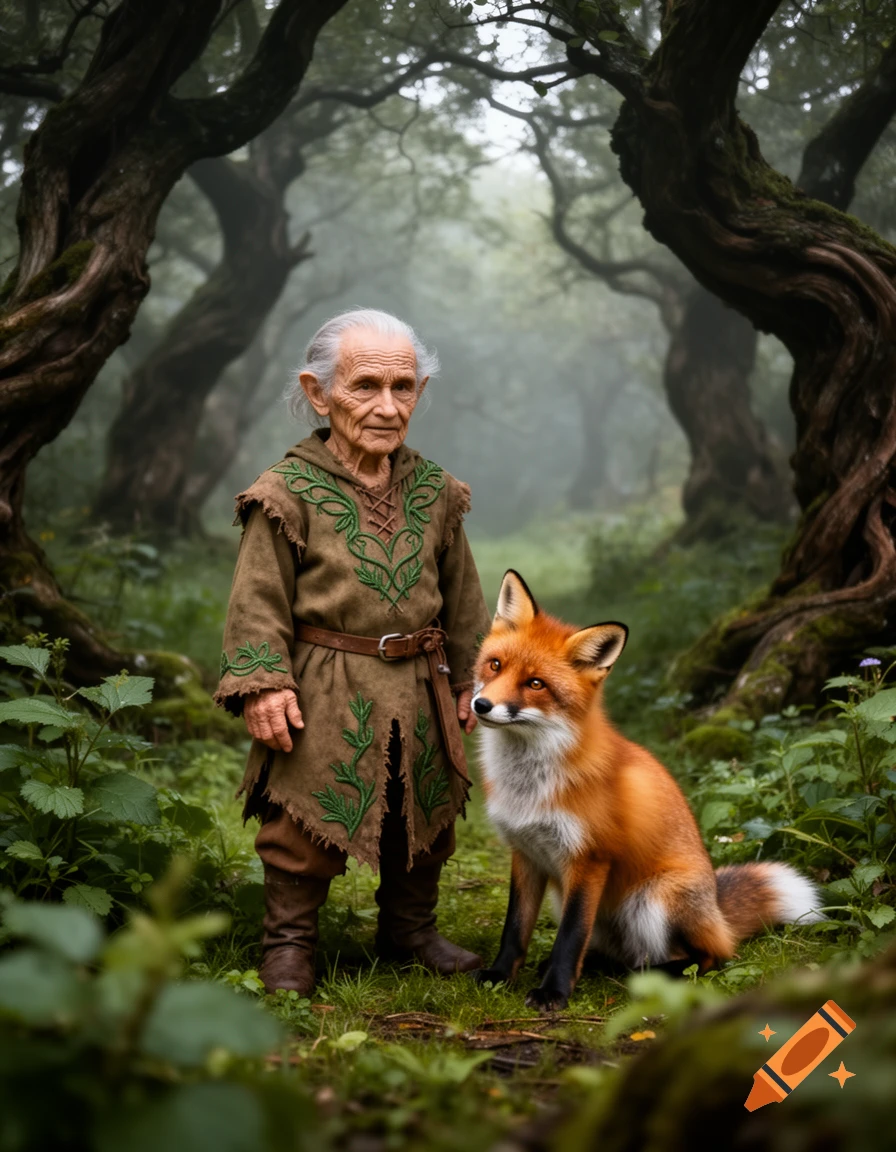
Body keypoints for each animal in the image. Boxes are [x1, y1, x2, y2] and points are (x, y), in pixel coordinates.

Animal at [470, 570, 824, 1012]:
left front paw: (554, 992)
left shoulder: (590, 859)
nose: (481, 705)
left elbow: (569, 937)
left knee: (711, 957)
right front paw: (500, 976)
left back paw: (651, 974)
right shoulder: (526, 854)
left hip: (654, 901)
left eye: (535, 684)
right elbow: (515, 929)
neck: (530, 785)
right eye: (494, 665)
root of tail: (717, 910)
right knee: (616, 953)